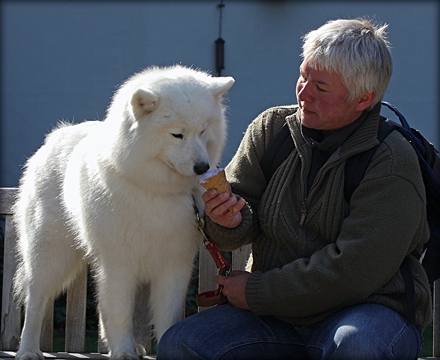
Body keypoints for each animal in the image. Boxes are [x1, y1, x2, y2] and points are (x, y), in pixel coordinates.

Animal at [12, 65, 234, 360]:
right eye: (177, 134)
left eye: (203, 131)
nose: (202, 167)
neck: (155, 189)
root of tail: (56, 136)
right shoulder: (118, 262)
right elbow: (118, 311)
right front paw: (123, 351)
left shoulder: (174, 263)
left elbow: (166, 314)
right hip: (50, 253)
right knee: (36, 300)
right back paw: (27, 350)